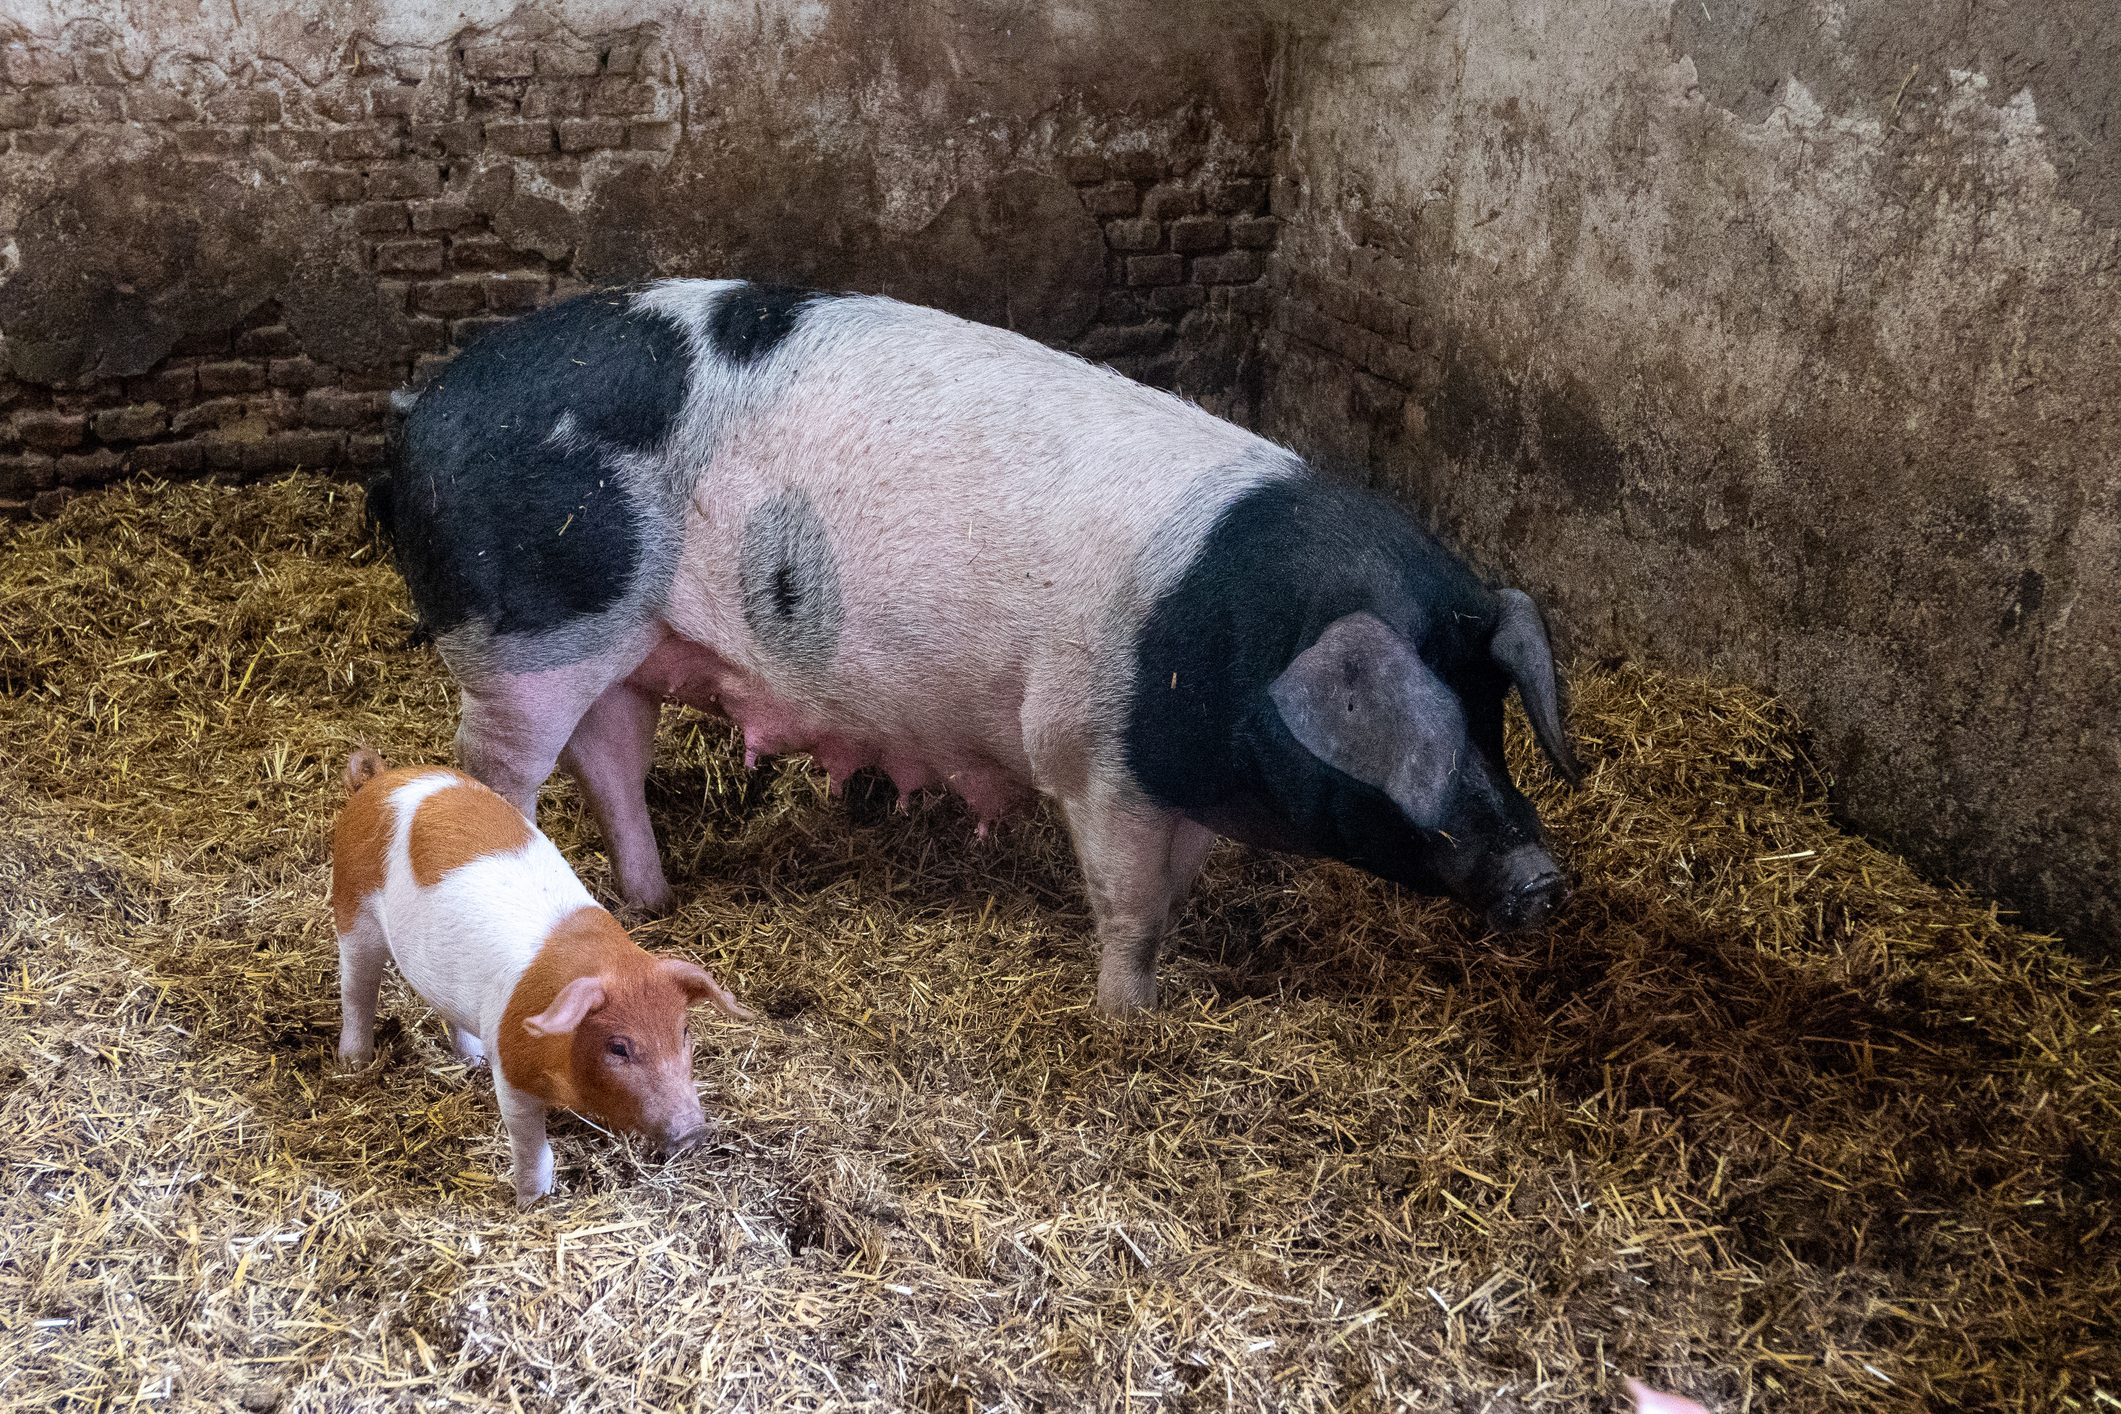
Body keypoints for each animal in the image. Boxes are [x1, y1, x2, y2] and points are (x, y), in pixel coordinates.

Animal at [331, 748, 750, 1204]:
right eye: (618, 1047)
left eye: (685, 1031)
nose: (693, 1130)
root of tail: (381, 780)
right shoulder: (512, 1070)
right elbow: (529, 1143)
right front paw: (531, 1202)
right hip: (352, 911)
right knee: (357, 990)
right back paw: (354, 1063)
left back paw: (472, 1061)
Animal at [367, 279, 1580, 1013]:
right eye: (1416, 732)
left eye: (1495, 716)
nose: (1542, 875)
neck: (1223, 646)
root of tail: (422, 414)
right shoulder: (1092, 758)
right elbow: (1128, 905)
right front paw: (1124, 1019)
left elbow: (1173, 893)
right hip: (521, 638)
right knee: (498, 776)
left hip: (626, 640)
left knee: (613, 759)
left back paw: (654, 902)